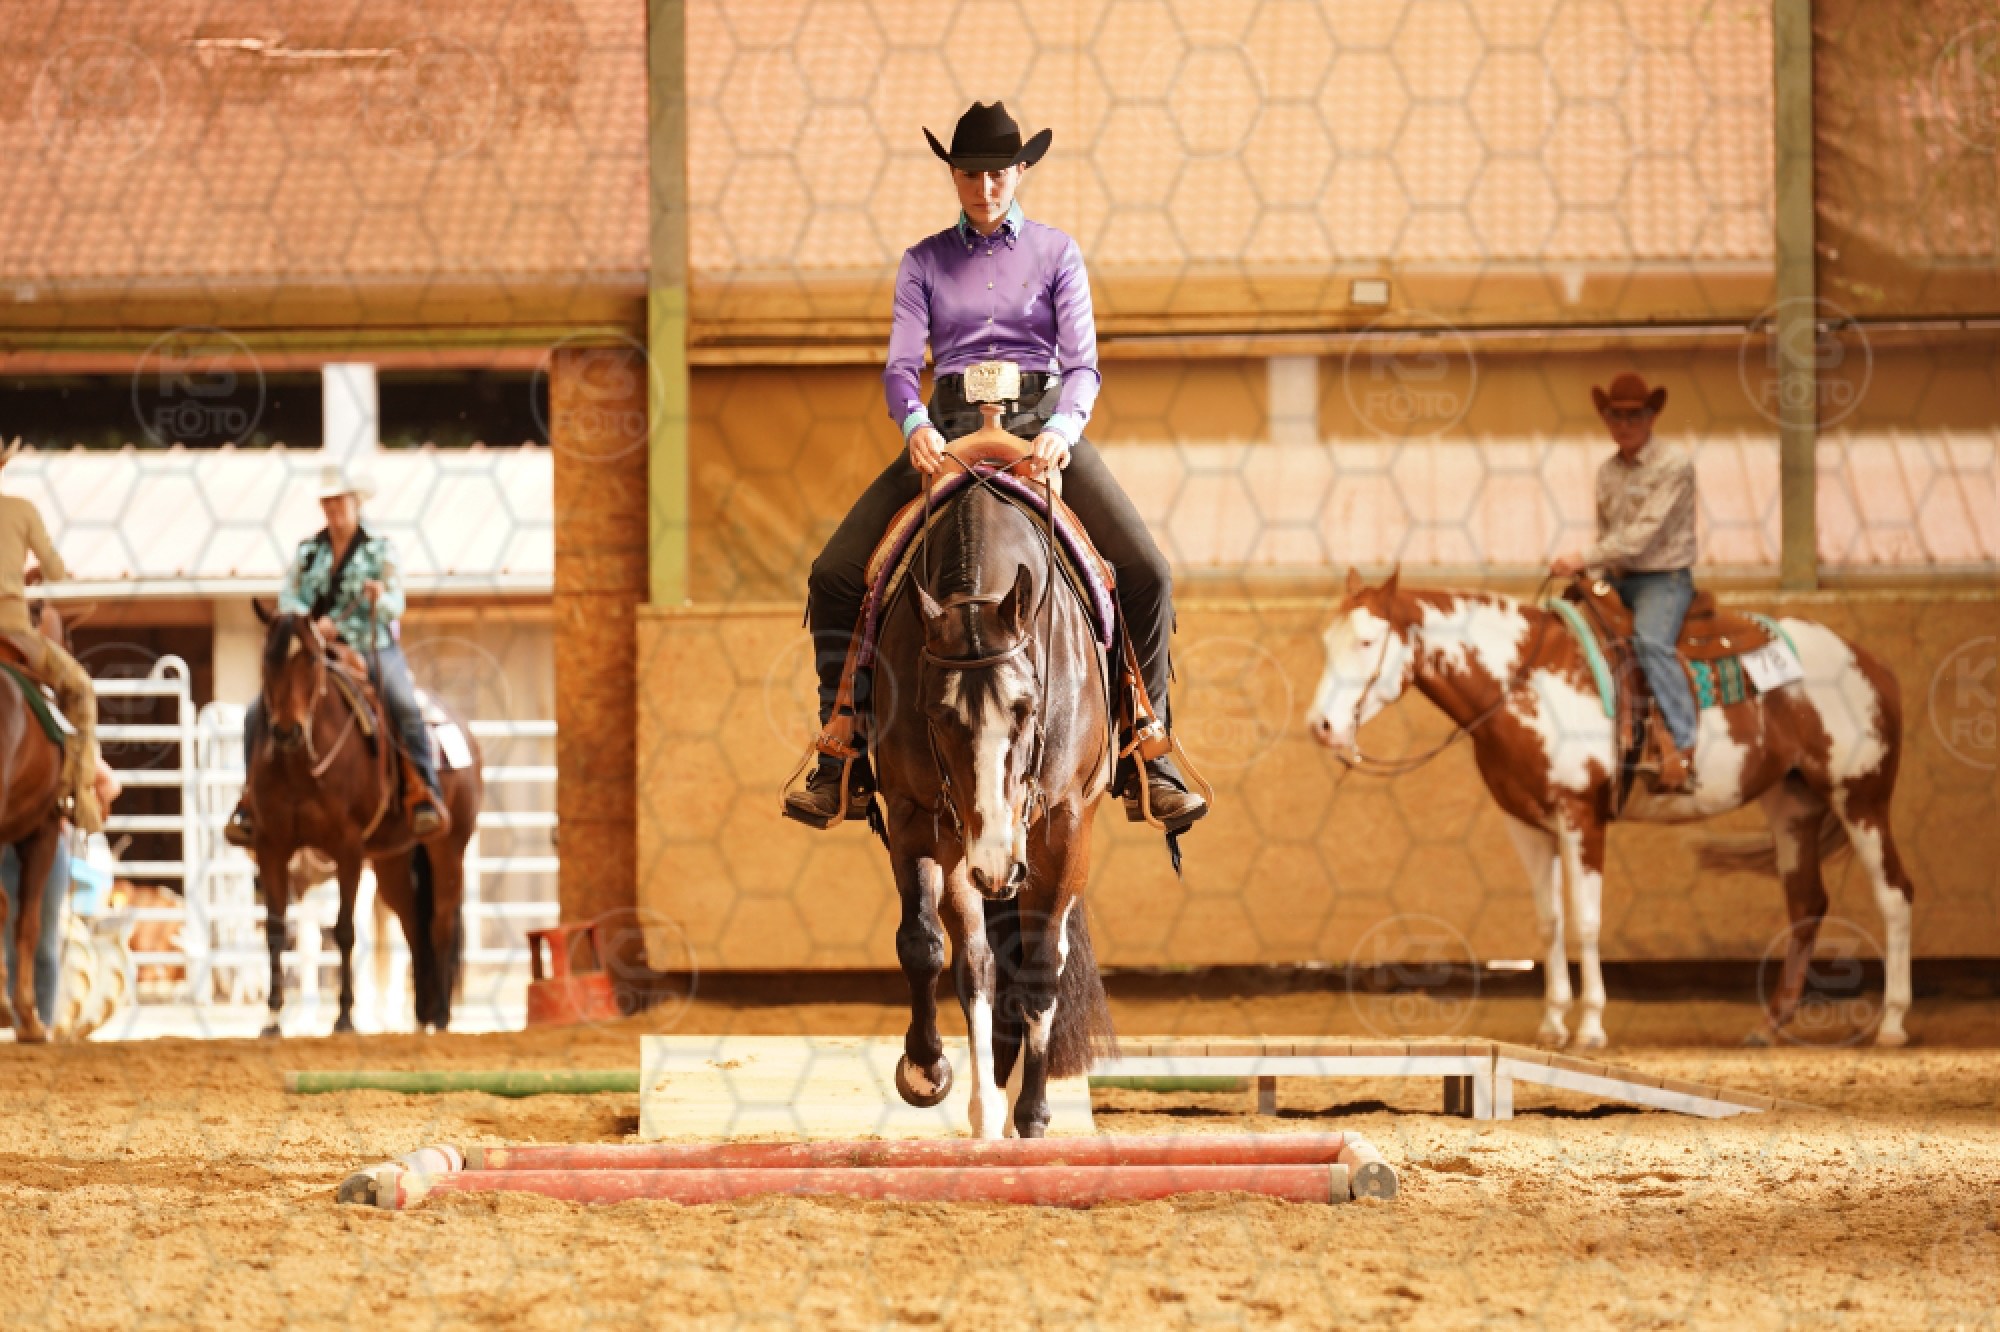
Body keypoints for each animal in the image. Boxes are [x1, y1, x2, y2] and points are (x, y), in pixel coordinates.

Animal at [249, 608, 484, 1036]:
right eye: (266, 660)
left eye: (311, 660)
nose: (287, 732)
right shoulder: (272, 847)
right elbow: (277, 932)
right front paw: (273, 1019)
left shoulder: (348, 849)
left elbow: (344, 932)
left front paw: (344, 1017)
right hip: (393, 861)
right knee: (413, 924)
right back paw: (421, 1017)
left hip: (448, 847)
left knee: (441, 920)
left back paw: (441, 1016)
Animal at [870, 454, 1119, 1138]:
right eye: (937, 713)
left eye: (1027, 707)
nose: (998, 867)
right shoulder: (916, 815)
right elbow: (923, 944)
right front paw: (924, 1070)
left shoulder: (1063, 829)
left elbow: (1039, 972)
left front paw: (1033, 1115)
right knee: (978, 961)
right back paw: (985, 1110)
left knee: (1041, 959)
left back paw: (1014, 1113)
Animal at [1305, 569, 1914, 1050]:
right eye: (1327, 643)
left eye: (1366, 641)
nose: (1323, 726)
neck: (1527, 683)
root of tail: (1869, 661)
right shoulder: (1526, 823)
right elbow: (1549, 921)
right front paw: (1553, 1023)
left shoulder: (1581, 817)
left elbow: (1587, 920)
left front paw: (1591, 1026)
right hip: (1792, 802)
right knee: (1806, 903)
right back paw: (1770, 1025)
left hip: (1859, 795)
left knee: (1894, 894)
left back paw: (1891, 1024)